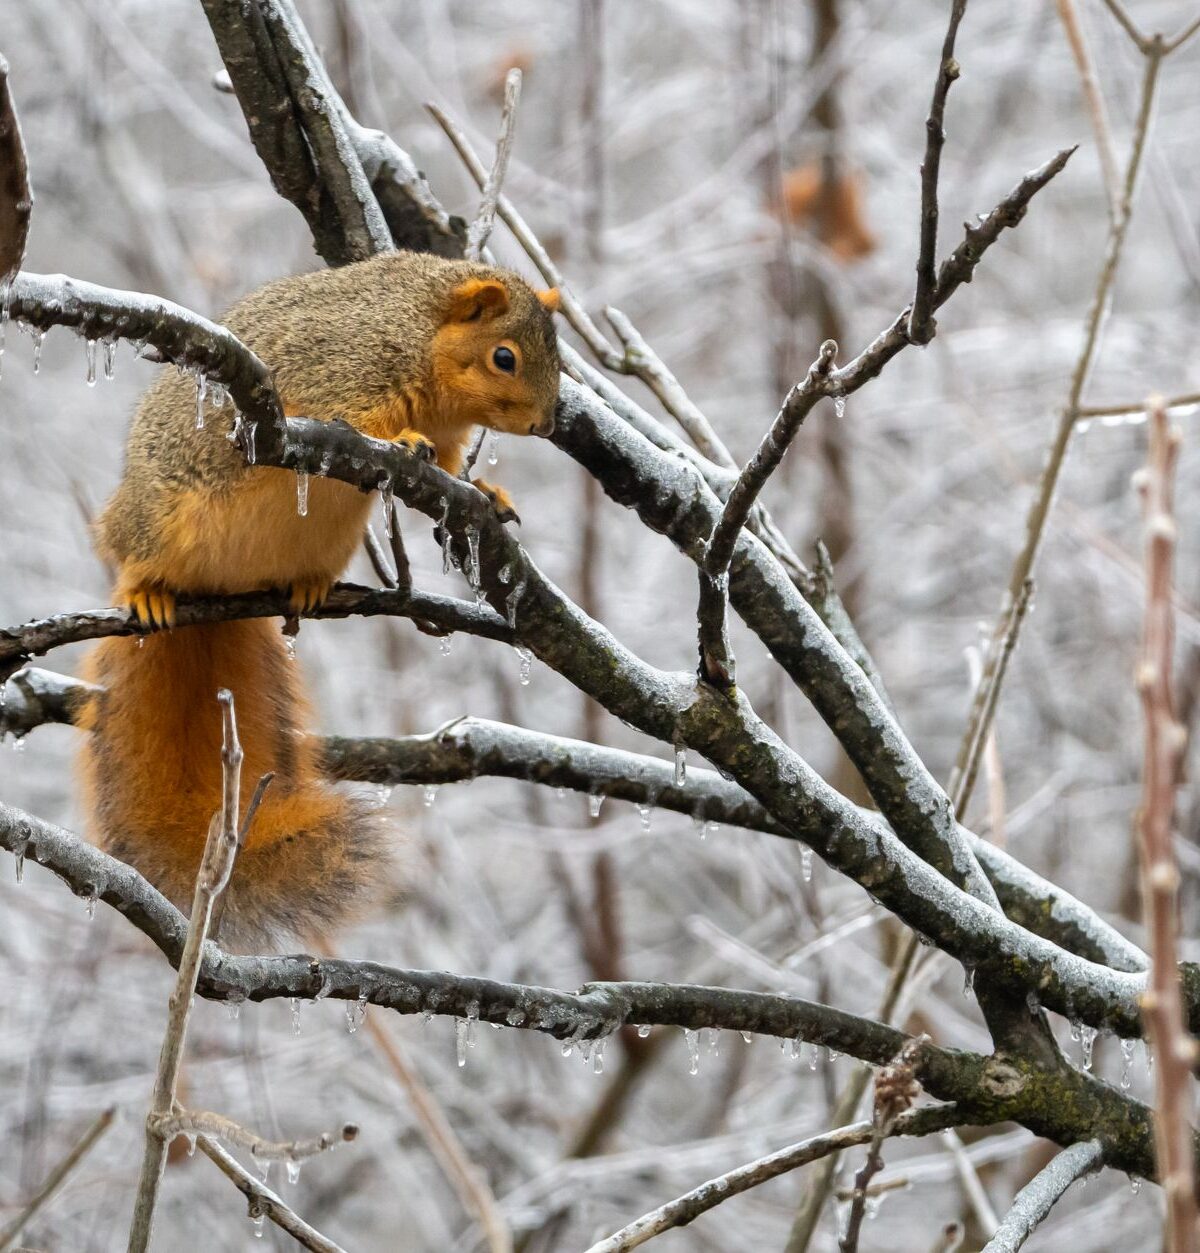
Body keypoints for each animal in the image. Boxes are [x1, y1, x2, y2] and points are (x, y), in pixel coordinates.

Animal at [78, 250, 561, 948]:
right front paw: (405, 442)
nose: (546, 425)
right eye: (505, 357)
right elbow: (362, 419)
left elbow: (451, 467)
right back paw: (146, 591)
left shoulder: (448, 436)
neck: (419, 332)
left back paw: (304, 588)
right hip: (155, 517)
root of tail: (218, 595)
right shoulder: (340, 369)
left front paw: (489, 493)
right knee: (134, 553)